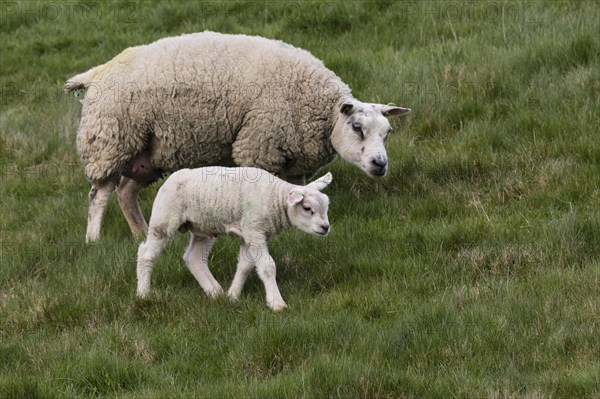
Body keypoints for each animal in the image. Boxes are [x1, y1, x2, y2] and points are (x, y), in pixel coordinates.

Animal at [137, 166, 332, 312]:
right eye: (307, 208)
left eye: (326, 206)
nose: (326, 227)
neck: (273, 197)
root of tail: (169, 178)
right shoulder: (255, 230)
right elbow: (268, 267)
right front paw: (277, 303)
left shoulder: (249, 234)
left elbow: (245, 266)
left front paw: (232, 295)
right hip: (164, 217)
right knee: (146, 255)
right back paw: (143, 293)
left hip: (203, 227)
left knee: (194, 257)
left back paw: (215, 292)